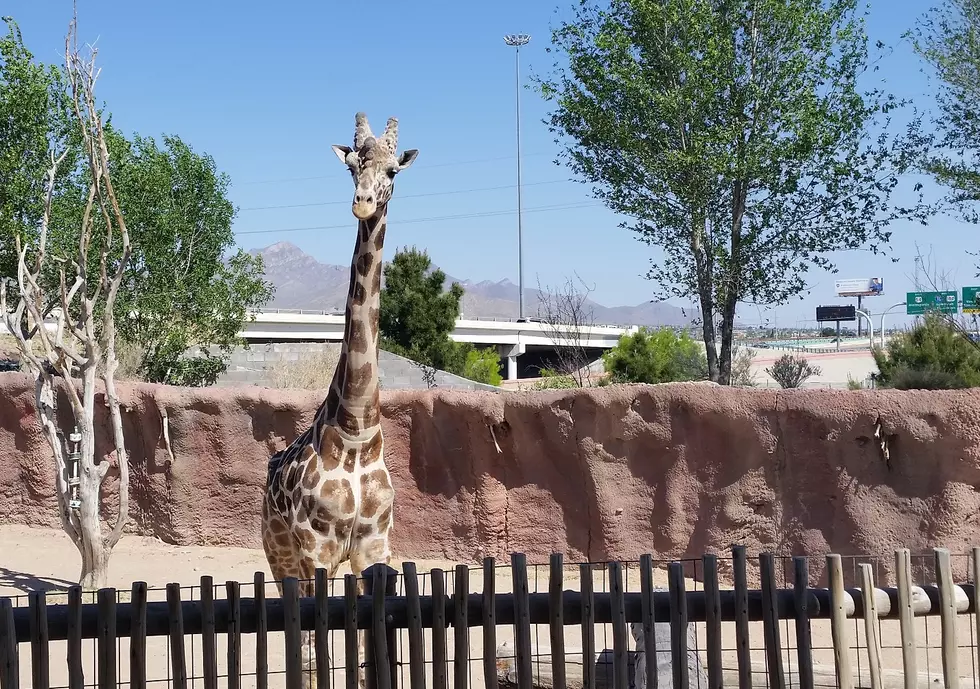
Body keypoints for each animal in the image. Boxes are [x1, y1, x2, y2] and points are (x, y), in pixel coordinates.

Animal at [260, 111, 418, 684]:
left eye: (393, 169)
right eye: (352, 165)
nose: (364, 202)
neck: (356, 431)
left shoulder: (374, 548)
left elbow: (372, 653)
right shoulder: (317, 549)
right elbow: (323, 652)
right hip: (280, 554)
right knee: (301, 643)